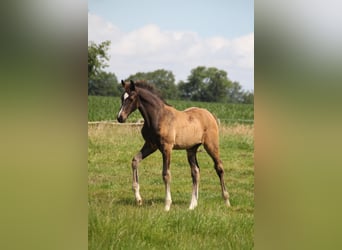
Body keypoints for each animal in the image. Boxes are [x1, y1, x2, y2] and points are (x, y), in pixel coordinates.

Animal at [116, 80, 231, 211]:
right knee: (195, 172)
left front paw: (167, 205)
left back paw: (226, 201)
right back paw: (192, 205)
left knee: (219, 167)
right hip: (191, 149)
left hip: (211, 145)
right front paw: (138, 199)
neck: (158, 116)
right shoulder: (151, 145)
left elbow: (166, 174)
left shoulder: (166, 148)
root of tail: (210, 114)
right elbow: (135, 160)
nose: (120, 117)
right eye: (121, 98)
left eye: (131, 99)